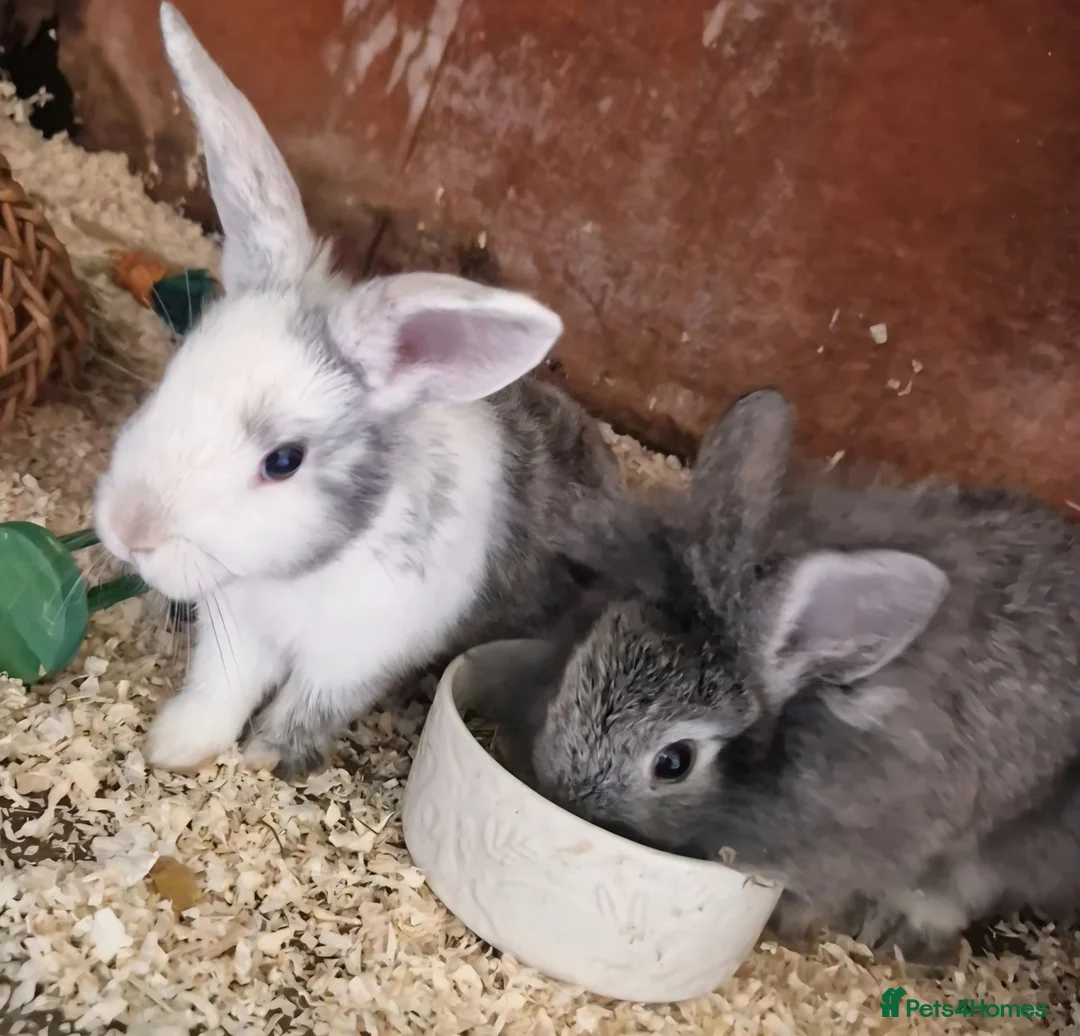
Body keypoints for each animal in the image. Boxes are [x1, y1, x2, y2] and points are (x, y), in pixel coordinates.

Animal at [92, 3, 634, 782]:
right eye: (174, 373)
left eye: (284, 461)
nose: (130, 532)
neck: (305, 570)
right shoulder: (238, 627)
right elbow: (218, 691)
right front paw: (175, 748)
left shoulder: (353, 661)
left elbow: (301, 714)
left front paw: (262, 764)